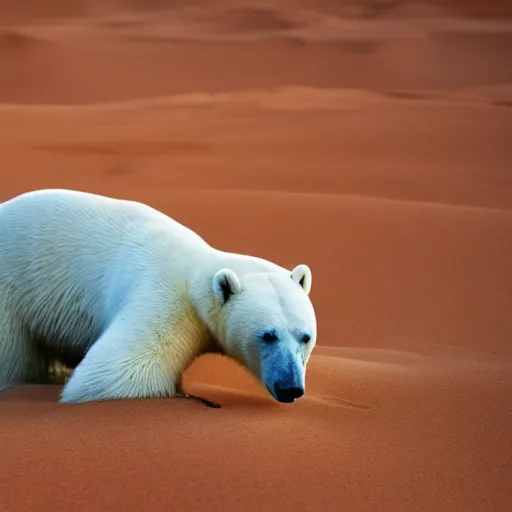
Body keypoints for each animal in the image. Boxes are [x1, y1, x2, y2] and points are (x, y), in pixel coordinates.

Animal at [0, 189, 316, 408]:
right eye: (268, 335)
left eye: (306, 337)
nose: (290, 388)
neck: (194, 270)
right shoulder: (167, 300)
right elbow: (117, 374)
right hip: (10, 293)